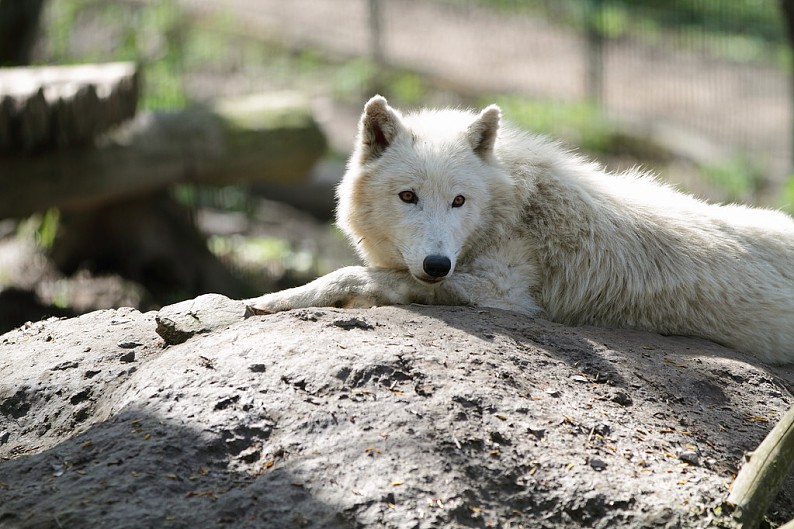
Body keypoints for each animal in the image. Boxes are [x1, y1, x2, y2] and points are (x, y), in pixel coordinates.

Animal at [248, 95, 792, 360]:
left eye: (459, 201)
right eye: (408, 197)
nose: (437, 264)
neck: (513, 208)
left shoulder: (505, 293)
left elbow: (351, 275)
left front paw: (270, 300)